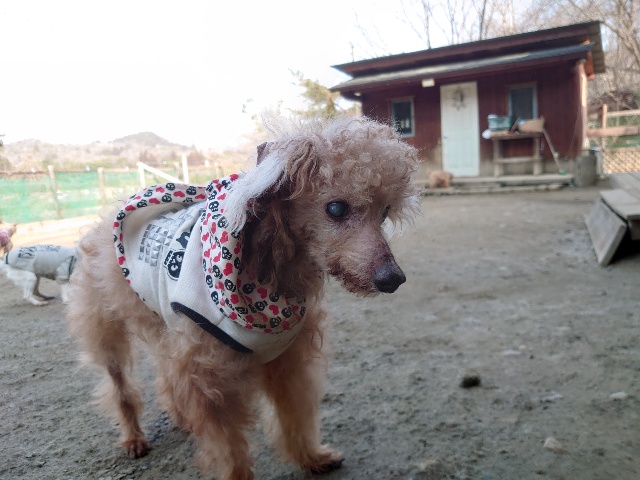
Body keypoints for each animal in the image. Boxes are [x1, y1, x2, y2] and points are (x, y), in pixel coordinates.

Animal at [66, 115, 420, 480]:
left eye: (384, 212)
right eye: (336, 208)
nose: (393, 278)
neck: (266, 283)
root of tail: (104, 219)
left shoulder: (288, 361)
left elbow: (295, 419)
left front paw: (311, 457)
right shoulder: (210, 381)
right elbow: (228, 451)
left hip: (164, 325)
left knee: (166, 373)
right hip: (107, 329)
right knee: (120, 386)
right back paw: (134, 437)